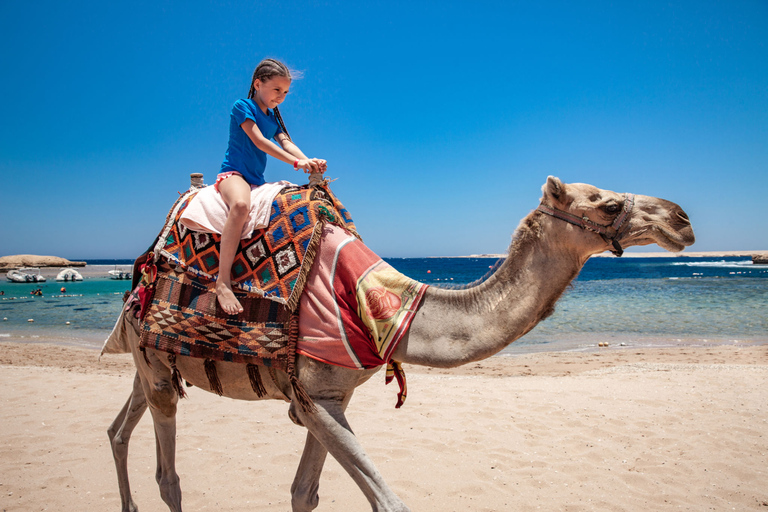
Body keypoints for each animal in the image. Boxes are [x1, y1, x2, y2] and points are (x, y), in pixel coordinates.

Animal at [106, 174, 696, 510]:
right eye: (607, 203)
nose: (682, 218)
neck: (386, 308)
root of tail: (141, 267)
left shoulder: (328, 397)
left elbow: (304, 494)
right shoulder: (314, 396)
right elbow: (388, 503)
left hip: (147, 360)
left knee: (118, 429)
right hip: (156, 368)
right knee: (168, 475)